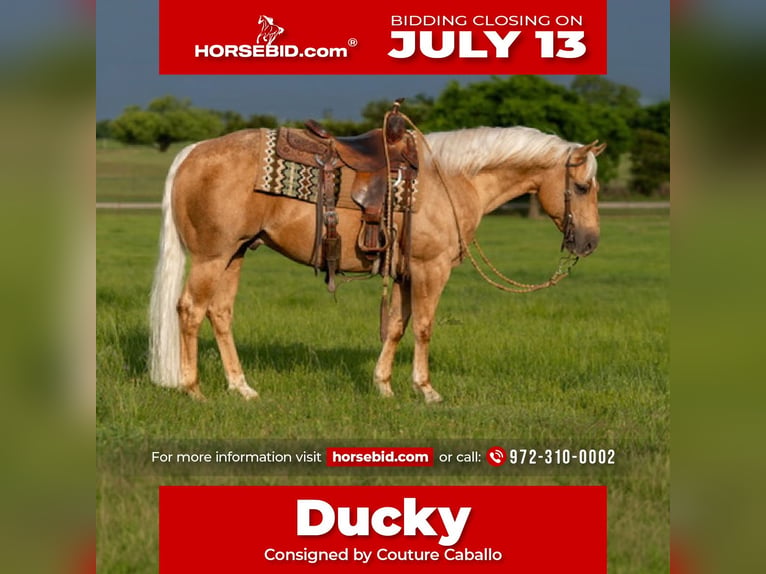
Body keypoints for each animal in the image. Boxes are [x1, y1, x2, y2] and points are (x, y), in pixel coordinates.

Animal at [149, 125, 606, 403]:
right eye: (583, 187)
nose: (589, 242)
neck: (453, 179)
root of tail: (193, 152)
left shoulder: (404, 272)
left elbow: (398, 326)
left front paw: (383, 386)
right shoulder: (430, 268)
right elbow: (423, 327)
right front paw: (426, 389)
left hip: (236, 253)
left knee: (220, 313)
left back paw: (242, 388)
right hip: (212, 257)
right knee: (190, 310)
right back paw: (193, 389)